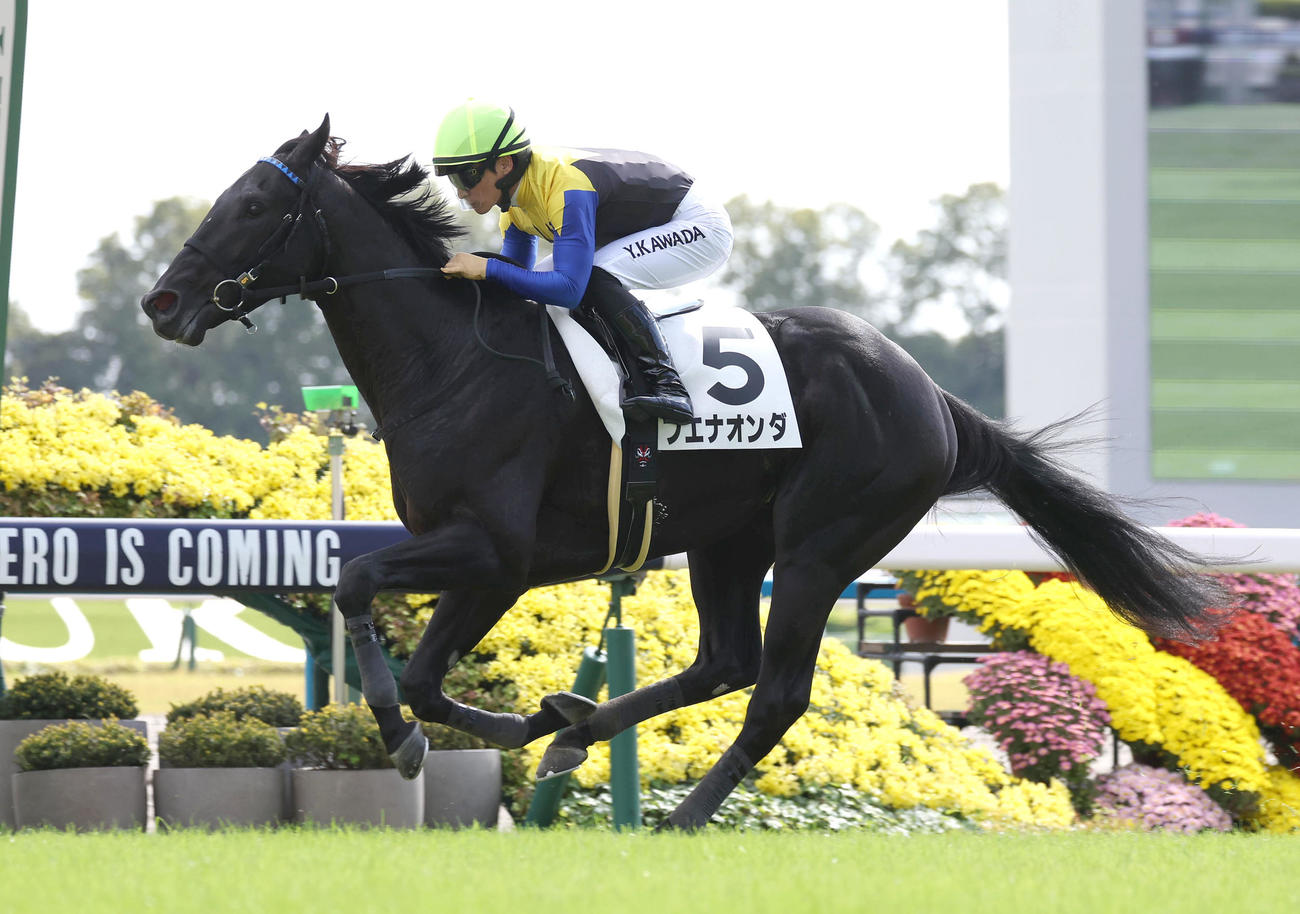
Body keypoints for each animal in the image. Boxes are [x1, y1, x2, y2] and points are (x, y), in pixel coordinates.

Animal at [142, 116, 1226, 829]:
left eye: (252, 204)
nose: (161, 302)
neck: (452, 362)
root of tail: (931, 394)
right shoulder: (479, 557)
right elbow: (408, 651)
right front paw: (516, 718)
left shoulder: (496, 552)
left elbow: (371, 599)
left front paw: (415, 736)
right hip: (727, 540)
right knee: (724, 661)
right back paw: (581, 728)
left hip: (821, 544)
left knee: (775, 690)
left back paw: (683, 810)